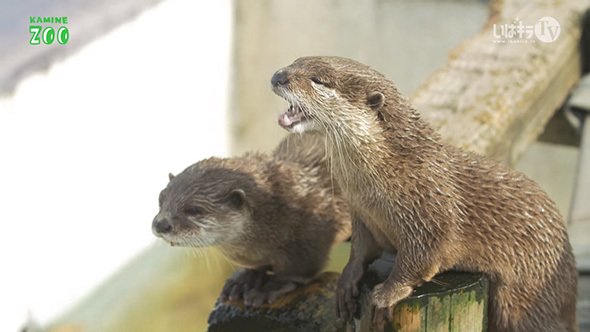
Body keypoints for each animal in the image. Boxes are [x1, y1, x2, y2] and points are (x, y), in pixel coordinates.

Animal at [153, 132, 354, 306]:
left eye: (194, 209)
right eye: (161, 198)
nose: (160, 224)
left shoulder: (311, 234)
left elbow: (299, 270)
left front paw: (269, 288)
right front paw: (244, 280)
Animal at [272, 57, 580, 332]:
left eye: (318, 80)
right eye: (296, 61)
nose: (278, 76)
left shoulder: (429, 211)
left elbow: (419, 259)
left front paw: (385, 295)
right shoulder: (361, 213)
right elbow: (361, 249)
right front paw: (347, 281)